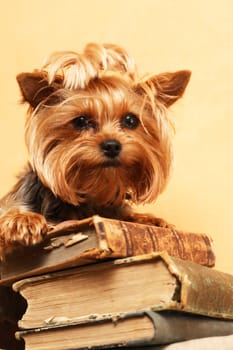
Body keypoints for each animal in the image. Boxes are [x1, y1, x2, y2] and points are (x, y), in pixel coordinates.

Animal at [0, 43, 190, 258]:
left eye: (130, 120)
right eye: (81, 121)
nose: (112, 145)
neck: (94, 191)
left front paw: (156, 221)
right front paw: (22, 220)